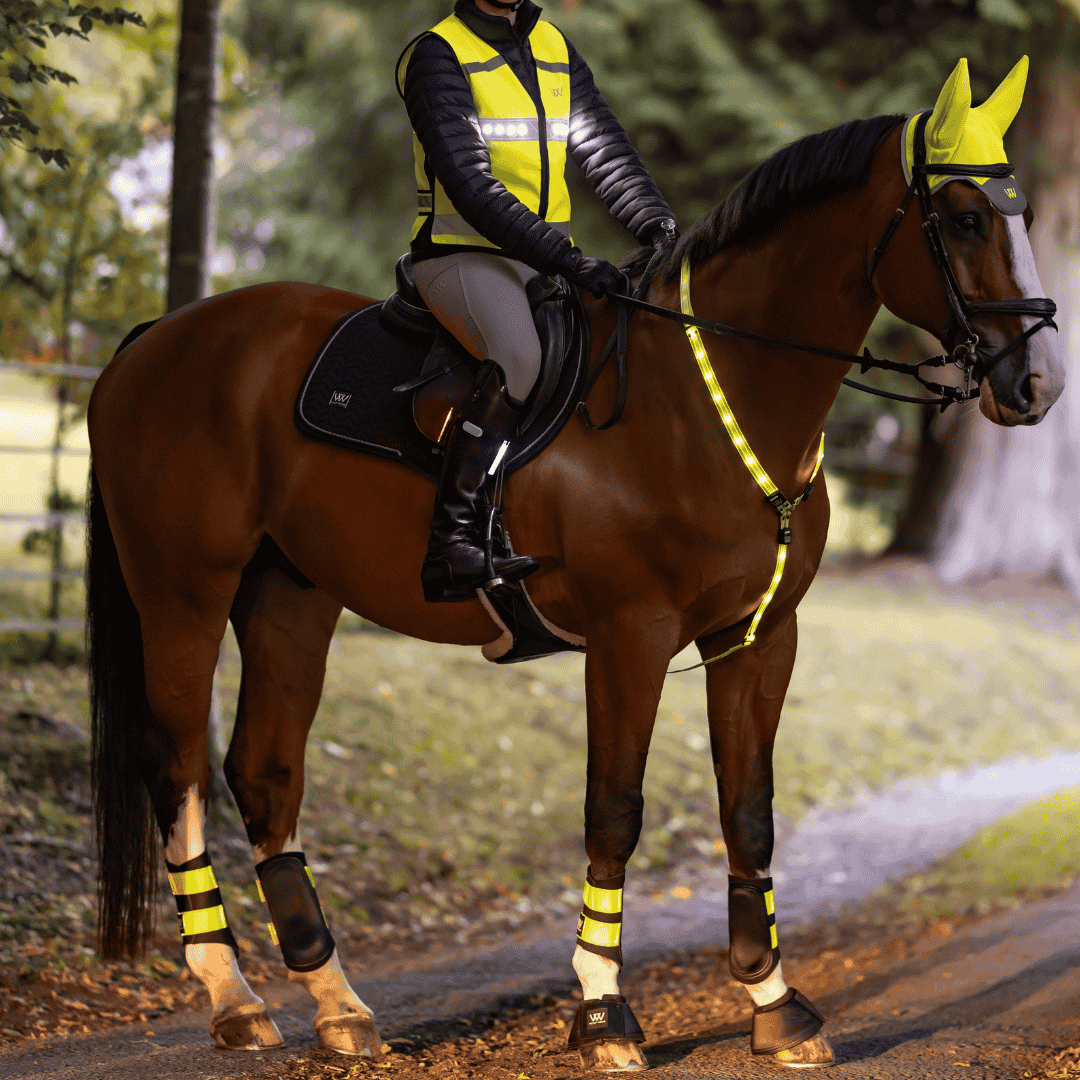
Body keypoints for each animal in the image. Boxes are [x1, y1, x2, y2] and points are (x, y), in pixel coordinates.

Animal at [86, 65, 1063, 1070]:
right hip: (184, 595)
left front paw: (775, 1003)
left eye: (1021, 212)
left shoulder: (758, 639)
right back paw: (231, 995)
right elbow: (614, 811)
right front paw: (602, 1012)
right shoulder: (630, 639)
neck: (706, 400)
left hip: (291, 598)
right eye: (962, 217)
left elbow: (748, 810)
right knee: (179, 770)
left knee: (264, 774)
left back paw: (338, 1005)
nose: (1036, 383)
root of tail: (158, 338)